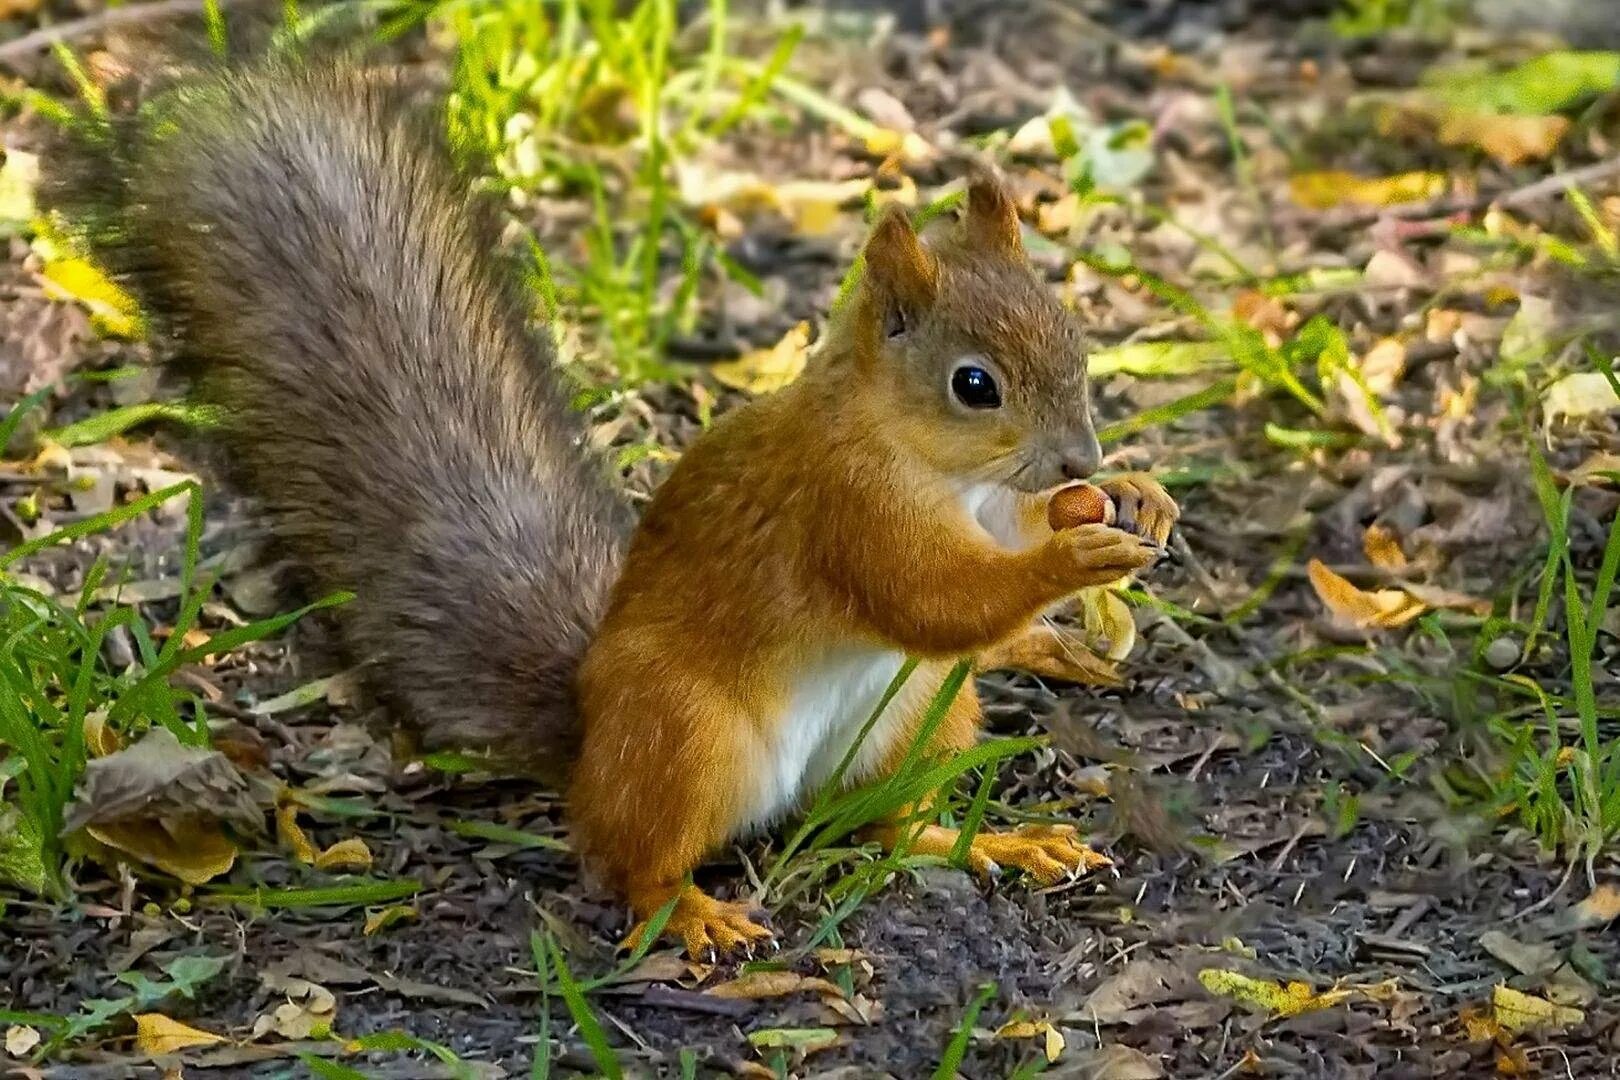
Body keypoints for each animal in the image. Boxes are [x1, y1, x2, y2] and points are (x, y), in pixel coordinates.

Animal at [47, 61, 1179, 952]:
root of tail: (590, 734)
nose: (1080, 453)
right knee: (624, 855)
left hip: (919, 720)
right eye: (973, 385)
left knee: (881, 822)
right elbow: (930, 599)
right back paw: (687, 910)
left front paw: (1131, 497)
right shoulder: (840, 509)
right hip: (684, 734)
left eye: (1074, 336)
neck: (940, 471)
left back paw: (998, 839)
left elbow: (1002, 554)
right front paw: (1070, 562)